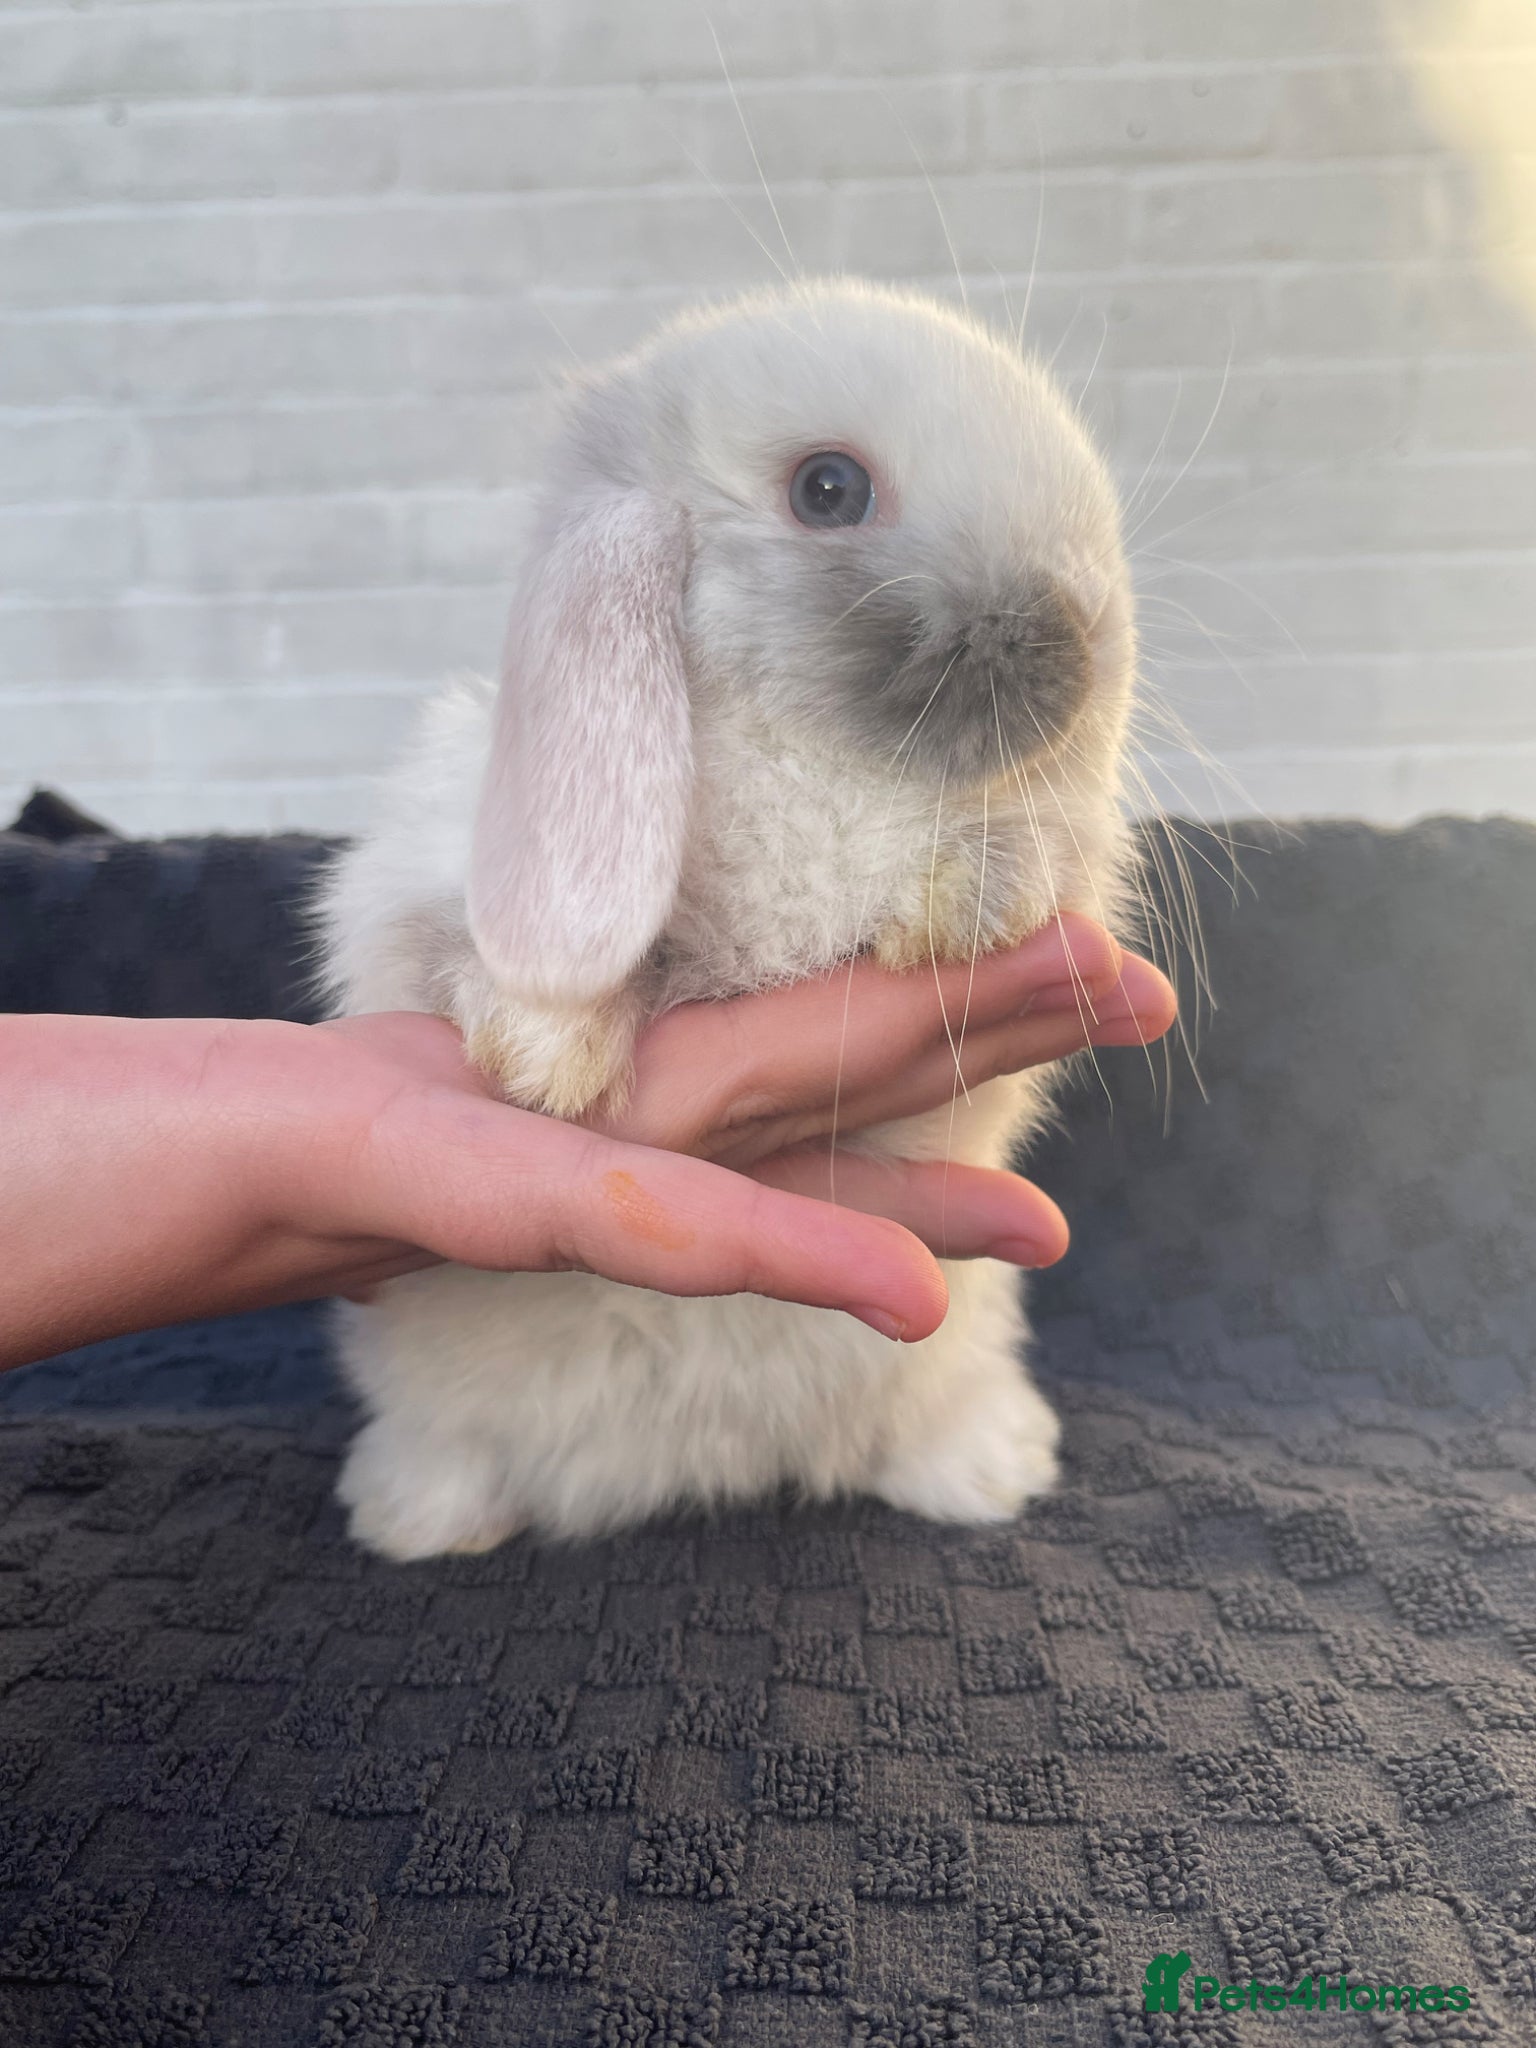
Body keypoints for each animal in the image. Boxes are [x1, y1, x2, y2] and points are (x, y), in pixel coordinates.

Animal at [315, 277, 1137, 1558]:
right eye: (829, 488)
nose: (1079, 642)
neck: (821, 763)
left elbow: (1031, 859)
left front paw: (963, 905)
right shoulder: (414, 878)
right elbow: (459, 951)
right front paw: (549, 1054)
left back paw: (989, 1471)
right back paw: (420, 1519)